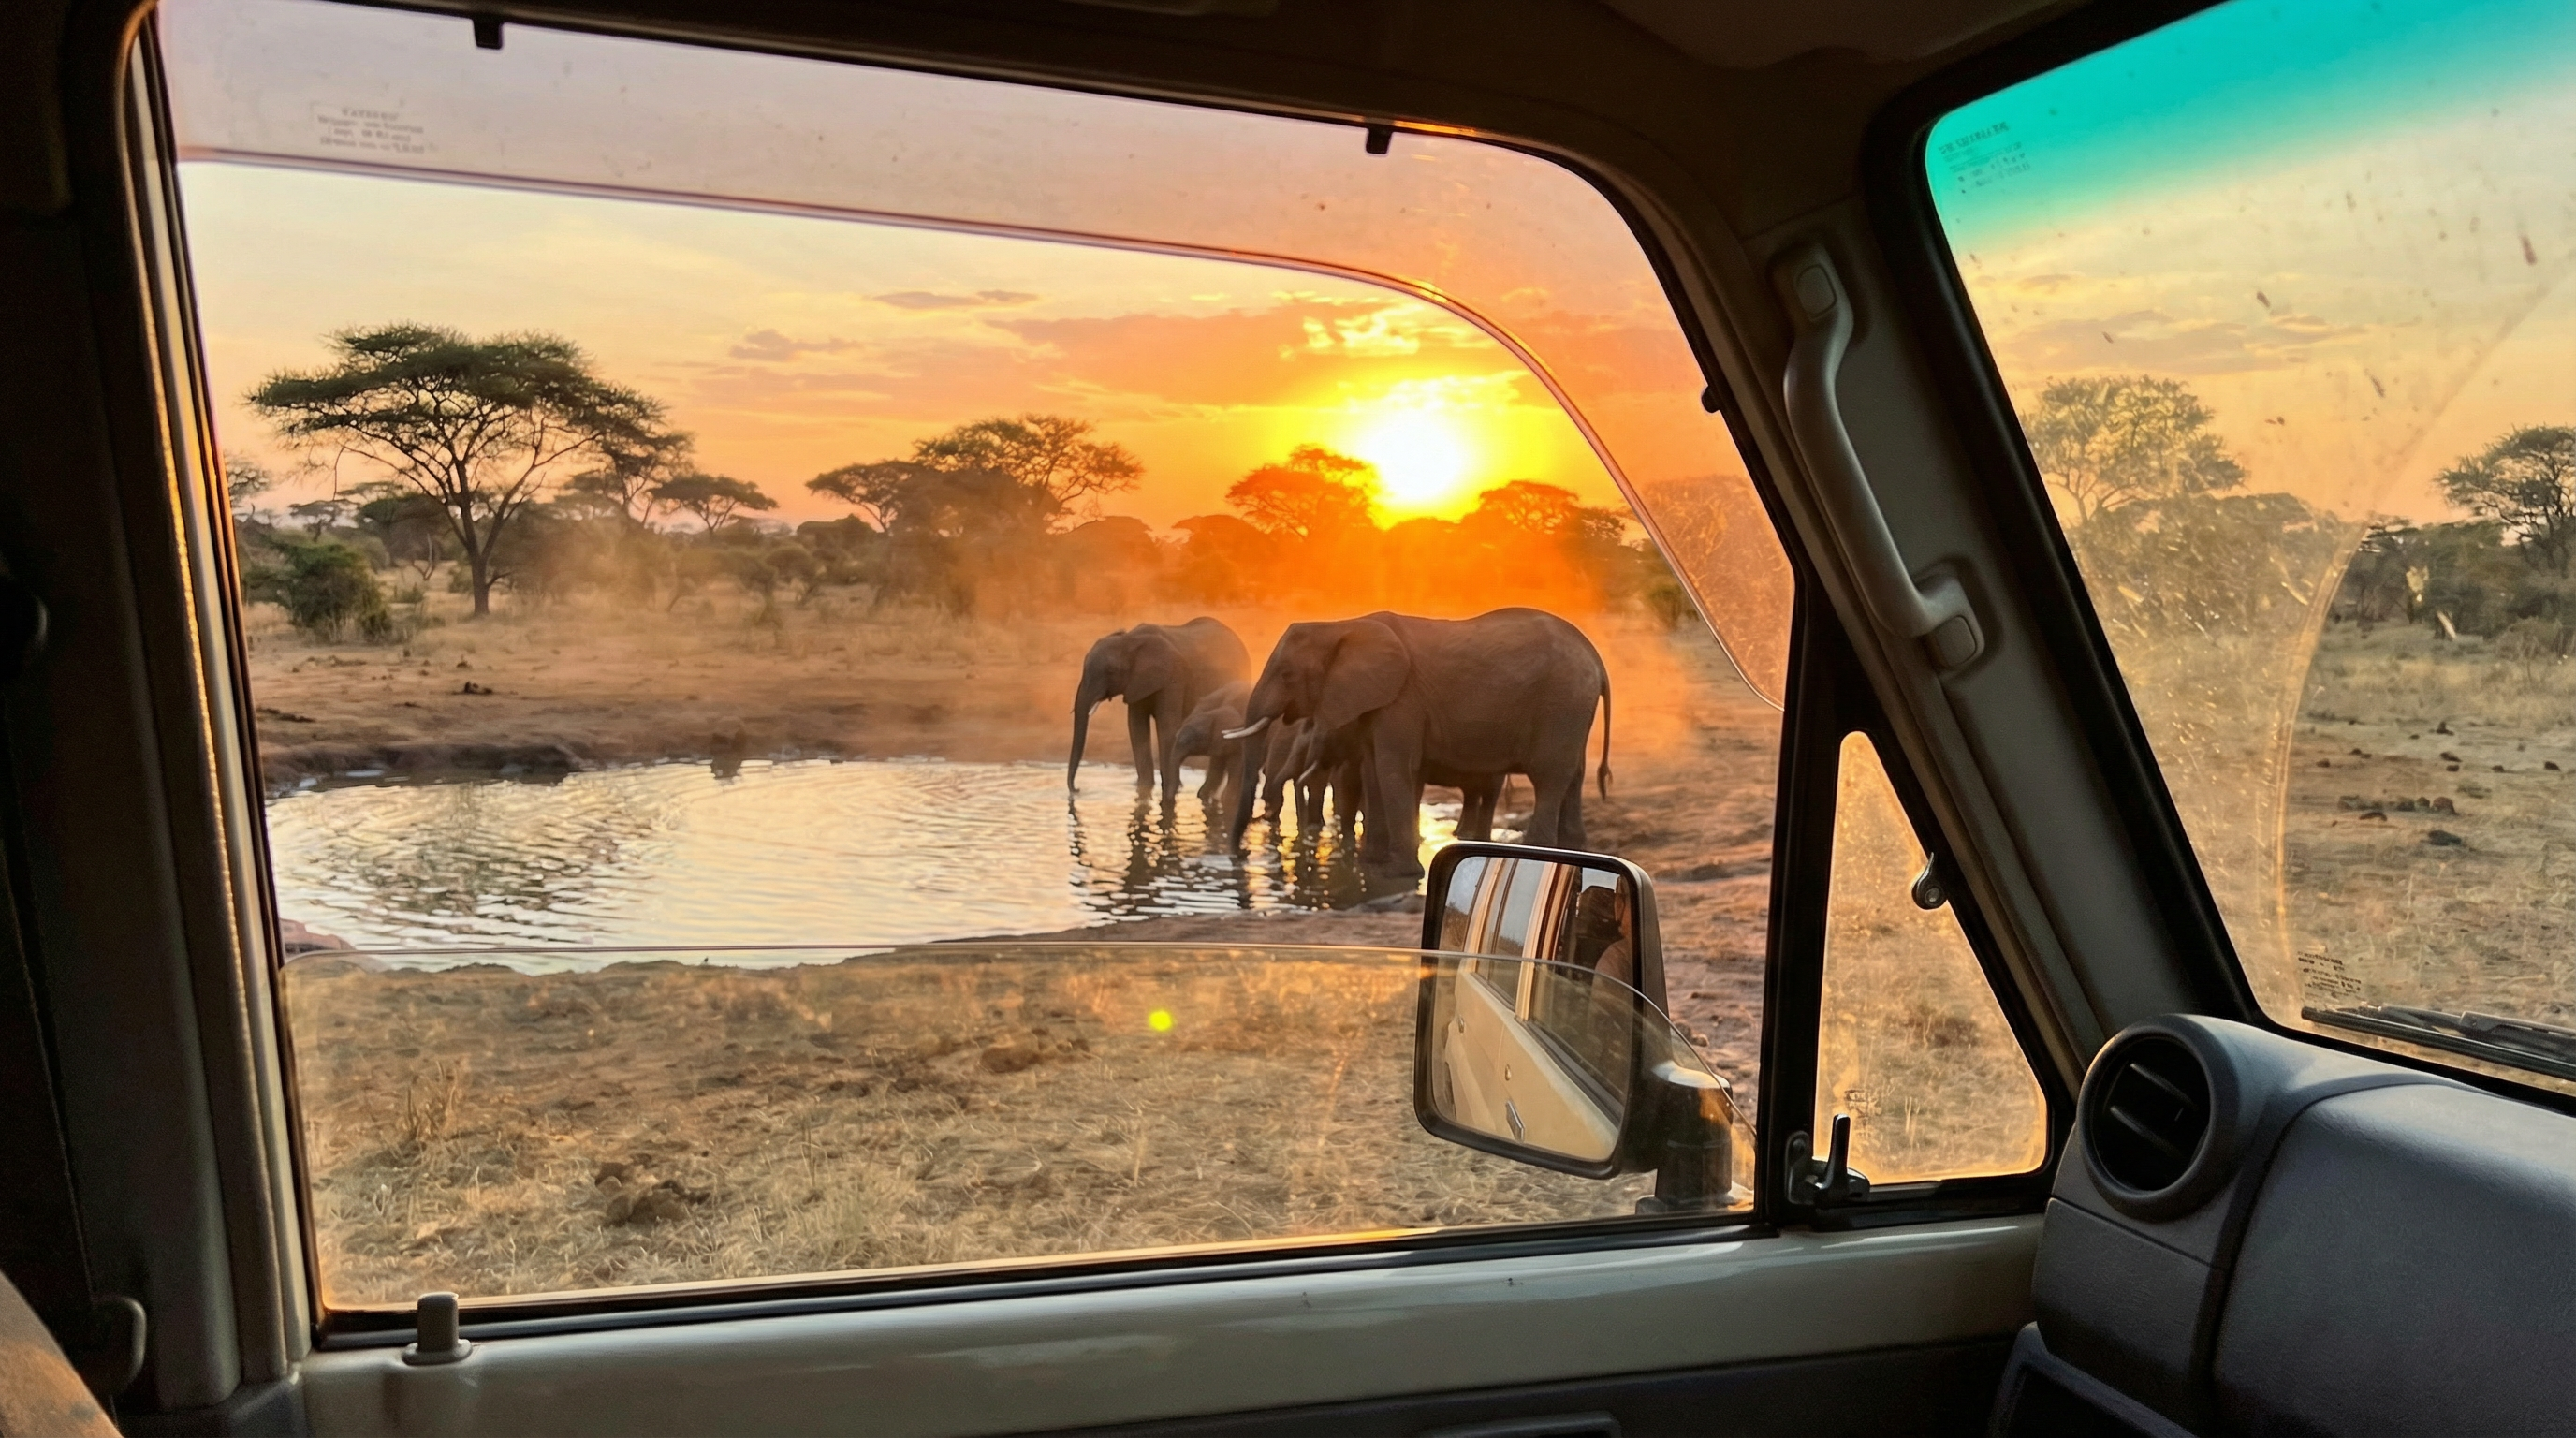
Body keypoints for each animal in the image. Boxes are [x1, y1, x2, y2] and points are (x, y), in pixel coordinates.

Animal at [1068, 617, 1250, 802]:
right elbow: (1136, 728)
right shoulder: (1136, 682)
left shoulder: (1173, 677)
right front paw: (1144, 790)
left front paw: (1170, 791)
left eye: (1111, 671)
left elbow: (1167, 726)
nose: (1077, 789)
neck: (1129, 640)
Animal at [1227, 608, 1609, 877]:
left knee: (1549, 778)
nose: (1239, 855)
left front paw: (1398, 873)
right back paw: (1575, 851)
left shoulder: (1402, 699)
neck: (1340, 625)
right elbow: (1373, 769)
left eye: (1287, 674)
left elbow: (1392, 768)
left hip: (1561, 702)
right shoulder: (1378, 701)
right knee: (1573, 777)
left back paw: (1540, 854)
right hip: (1572, 710)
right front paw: (1370, 864)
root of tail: (1595, 655)